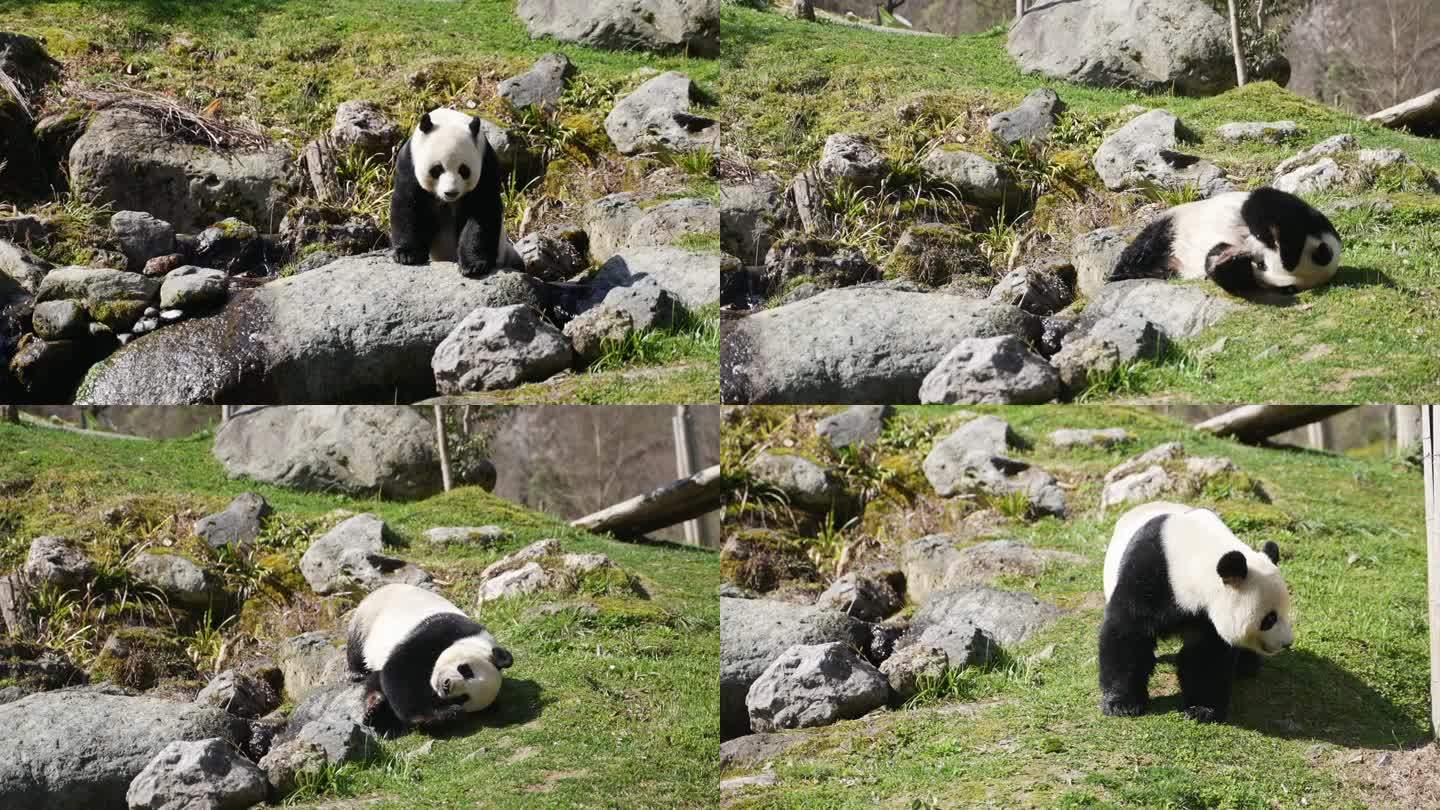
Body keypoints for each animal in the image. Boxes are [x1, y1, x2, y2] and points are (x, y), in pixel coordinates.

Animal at [344, 579, 512, 732]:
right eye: (466, 670)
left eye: (463, 698)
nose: (447, 686)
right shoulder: (442, 633)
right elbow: (399, 671)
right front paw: (424, 716)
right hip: (368, 619)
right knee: (357, 648)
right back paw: (359, 676)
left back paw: (375, 706)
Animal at [391, 107, 527, 276]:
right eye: (437, 169)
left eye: (464, 170)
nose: (451, 192)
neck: (448, 119)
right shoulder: (409, 161)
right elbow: (408, 204)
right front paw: (407, 255)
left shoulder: (486, 163)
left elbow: (482, 210)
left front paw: (473, 265)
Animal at [1100, 501, 1296, 720]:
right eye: (1269, 619)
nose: (1287, 643)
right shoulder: (1147, 576)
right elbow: (1128, 632)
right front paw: (1122, 704)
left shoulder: (1207, 614)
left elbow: (1207, 654)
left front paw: (1202, 709)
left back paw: (1246, 666)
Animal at [1105, 187, 1342, 296]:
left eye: (1260, 266)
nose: (1250, 253)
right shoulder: (1313, 222)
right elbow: (1265, 201)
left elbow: (1231, 277)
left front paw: (1228, 261)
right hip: (1171, 225)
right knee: (1144, 248)